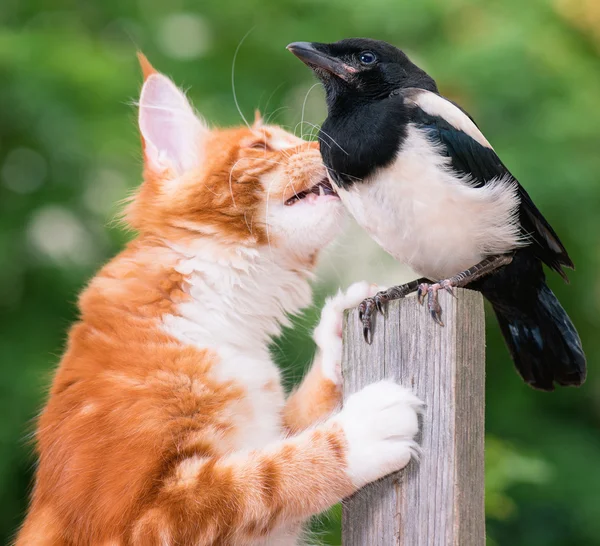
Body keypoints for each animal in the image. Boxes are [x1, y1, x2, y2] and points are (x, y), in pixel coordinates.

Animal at [17, 57, 422, 540]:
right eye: (261, 145)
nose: (327, 145)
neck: (224, 322)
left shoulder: (270, 440)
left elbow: (290, 431)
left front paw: (339, 331)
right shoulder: (136, 519)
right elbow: (259, 479)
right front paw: (363, 430)